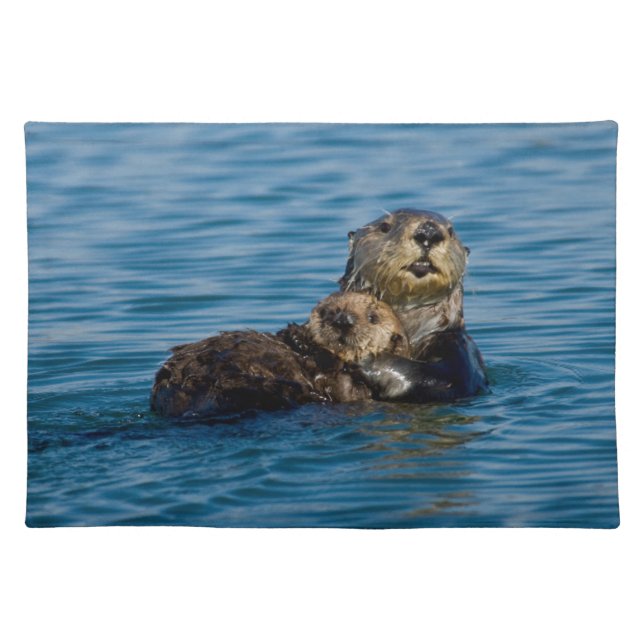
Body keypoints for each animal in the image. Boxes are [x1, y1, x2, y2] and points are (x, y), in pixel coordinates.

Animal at [150, 292, 409, 418]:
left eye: (373, 318)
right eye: (327, 311)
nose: (342, 320)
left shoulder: (350, 388)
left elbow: (343, 387)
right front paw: (296, 334)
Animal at [340, 208, 488, 402]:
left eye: (451, 231)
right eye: (385, 227)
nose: (429, 232)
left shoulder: (460, 349)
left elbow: (442, 379)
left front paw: (365, 358)